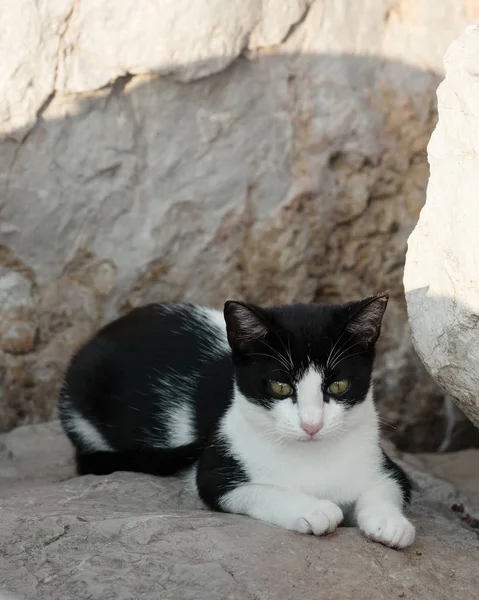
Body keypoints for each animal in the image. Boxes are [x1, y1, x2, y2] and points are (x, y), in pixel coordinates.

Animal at [59, 294, 416, 548]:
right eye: (280, 386)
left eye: (338, 385)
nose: (311, 424)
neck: (311, 458)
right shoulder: (215, 471)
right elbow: (259, 490)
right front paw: (313, 510)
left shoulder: (382, 463)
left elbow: (390, 485)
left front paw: (390, 523)